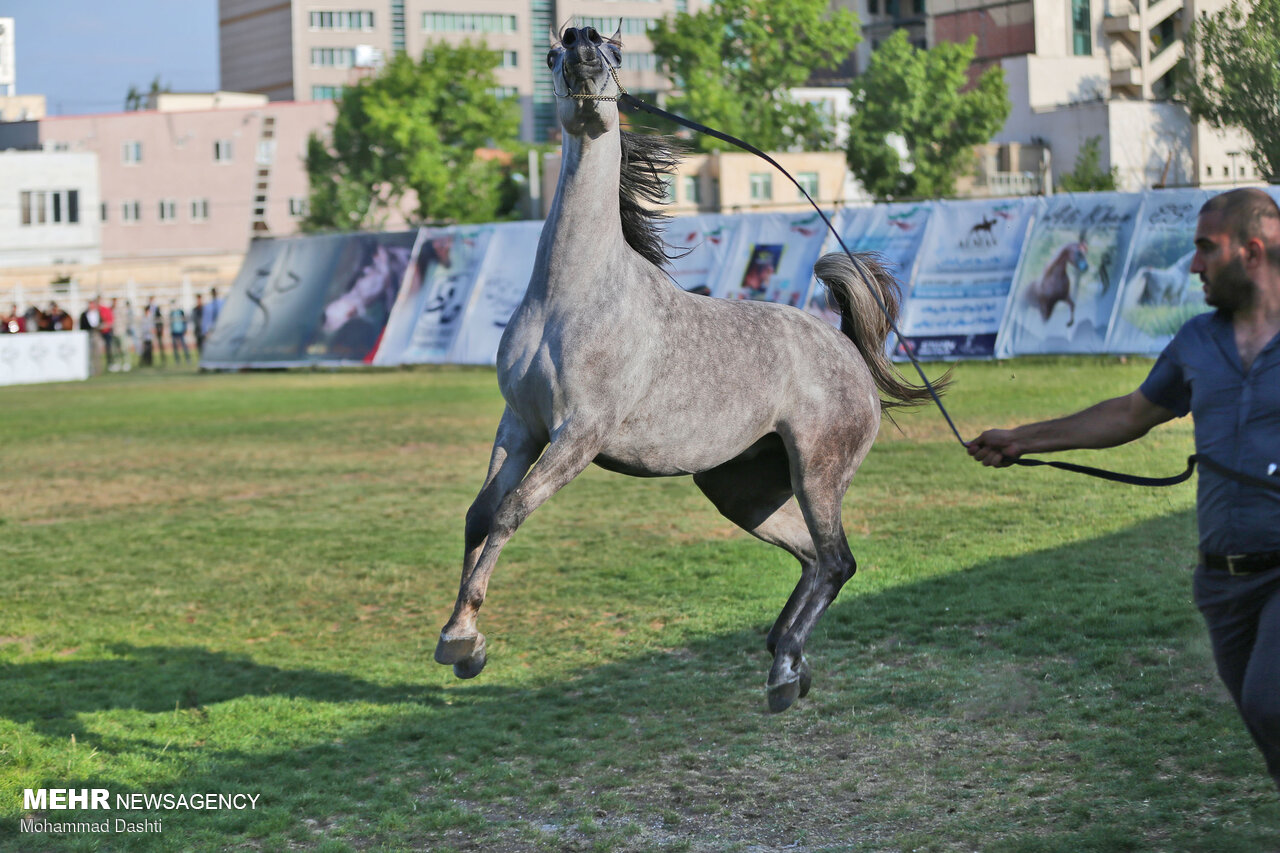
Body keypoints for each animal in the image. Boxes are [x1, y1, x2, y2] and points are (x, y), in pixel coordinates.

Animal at [432, 24, 942, 712]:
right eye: (557, 49)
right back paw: (787, 658)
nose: (584, 45)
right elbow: (480, 516)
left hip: (818, 472)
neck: (573, 294)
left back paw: (784, 669)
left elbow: (511, 513)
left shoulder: (578, 434)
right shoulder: (521, 425)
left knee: (838, 562)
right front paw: (459, 639)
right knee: (813, 559)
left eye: (613, 51)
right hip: (740, 491)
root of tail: (846, 351)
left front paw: (464, 643)